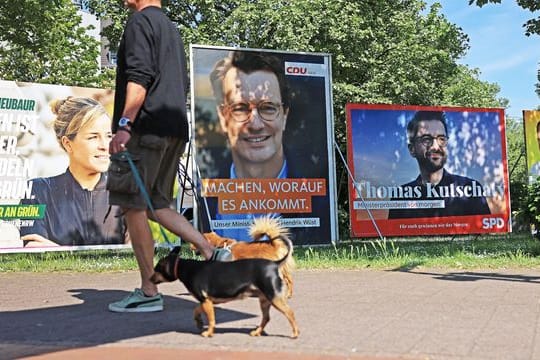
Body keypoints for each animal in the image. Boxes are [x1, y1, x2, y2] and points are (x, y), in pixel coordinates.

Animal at [150, 243, 300, 338]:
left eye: (156, 269)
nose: (150, 279)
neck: (184, 267)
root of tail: (275, 264)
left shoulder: (205, 301)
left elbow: (211, 319)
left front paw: (208, 333)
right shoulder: (206, 301)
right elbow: (196, 310)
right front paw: (199, 322)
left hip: (274, 297)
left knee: (290, 313)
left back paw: (295, 333)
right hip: (264, 300)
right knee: (266, 318)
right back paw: (256, 332)